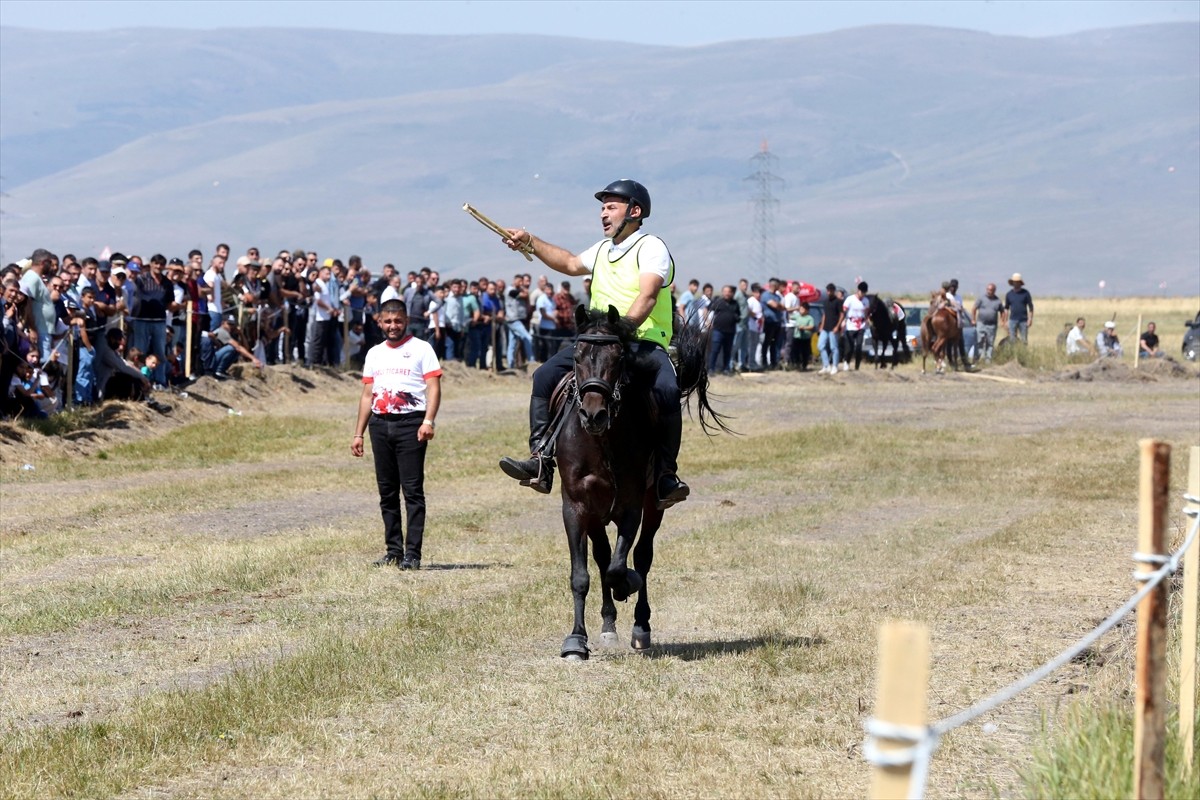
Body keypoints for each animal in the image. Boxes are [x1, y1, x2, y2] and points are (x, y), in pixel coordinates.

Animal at [549, 303, 724, 662]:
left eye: (618, 357)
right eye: (577, 356)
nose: (593, 415)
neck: (602, 442)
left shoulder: (631, 506)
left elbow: (621, 566)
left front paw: (626, 584)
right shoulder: (575, 506)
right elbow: (582, 574)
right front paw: (576, 640)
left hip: (653, 504)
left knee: (642, 556)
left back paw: (640, 626)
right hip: (596, 514)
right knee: (602, 557)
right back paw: (608, 625)